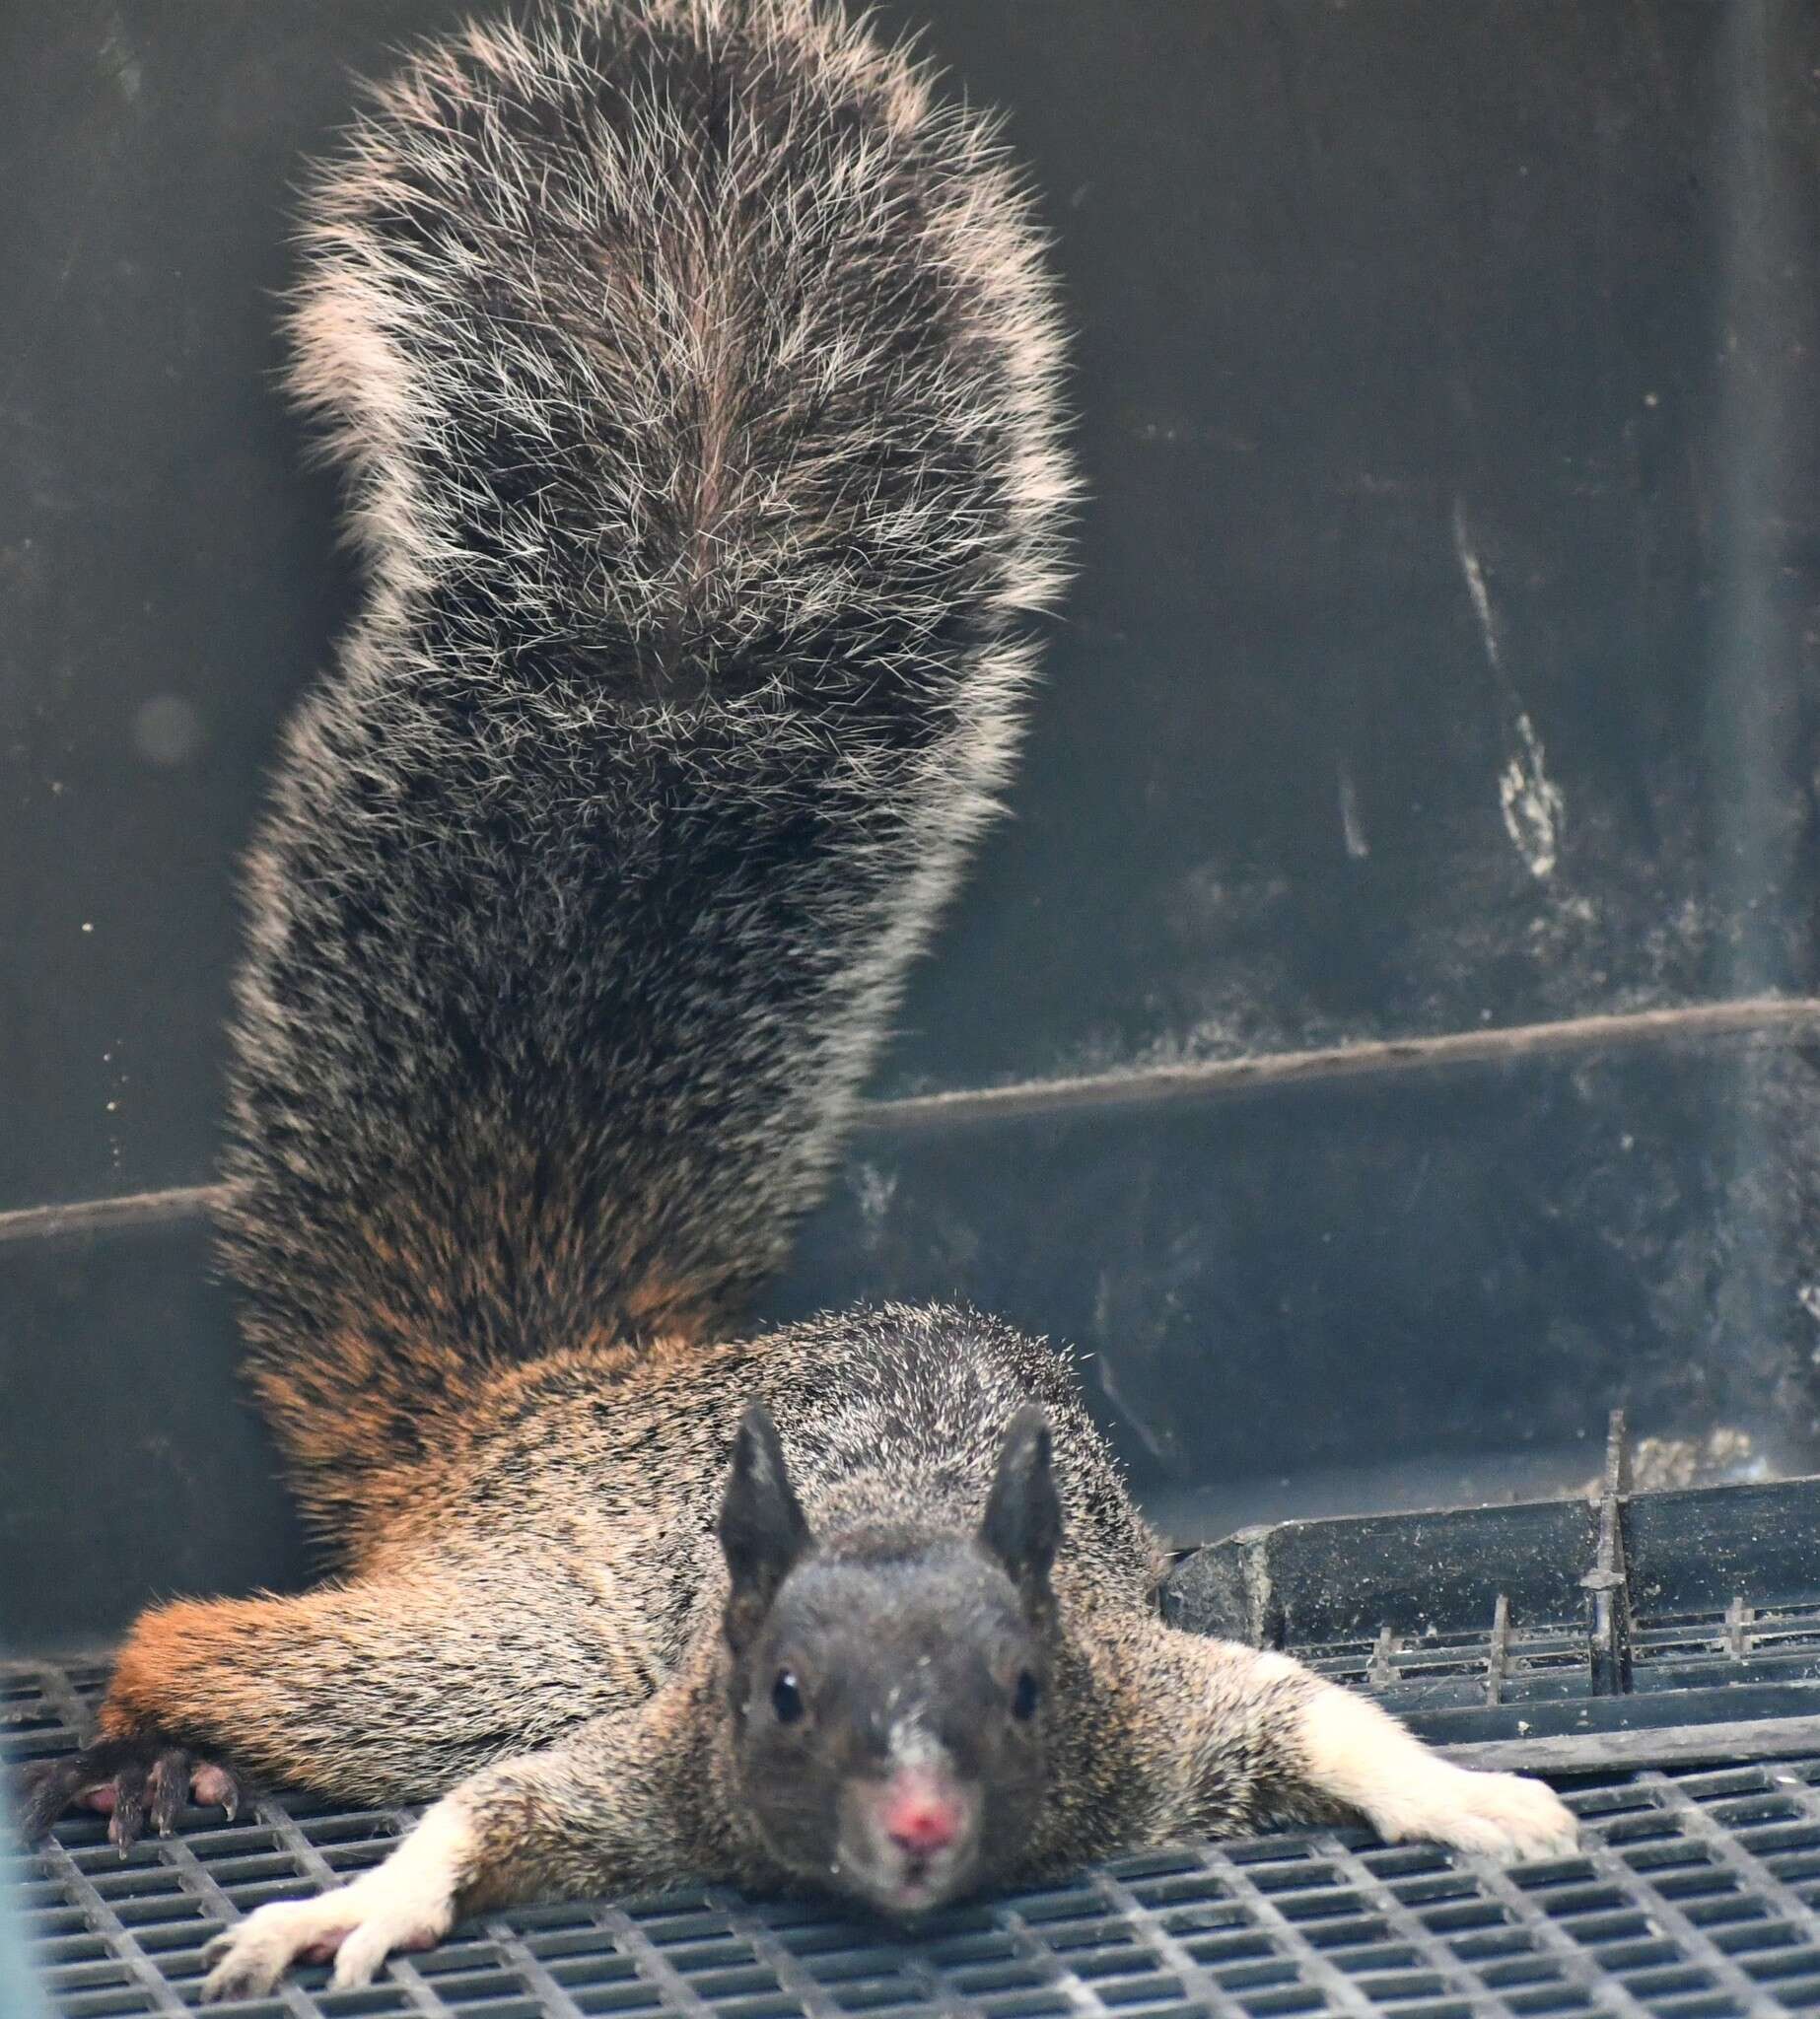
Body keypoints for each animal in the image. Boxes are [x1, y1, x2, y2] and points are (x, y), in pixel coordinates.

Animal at [18, 0, 1575, 1994]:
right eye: (778, 1688)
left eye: (1018, 1682)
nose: (907, 1816)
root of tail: (549, 1387)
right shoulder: (656, 1736)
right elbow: (502, 1805)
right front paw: (360, 1900)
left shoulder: (1148, 1705)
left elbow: (1311, 1710)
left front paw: (1473, 1796)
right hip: (508, 1629)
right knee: (216, 1639)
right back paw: (149, 1744)